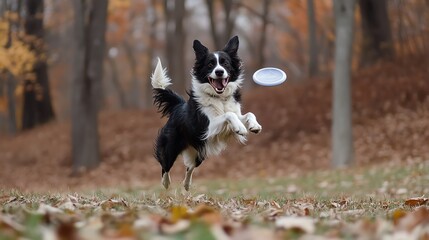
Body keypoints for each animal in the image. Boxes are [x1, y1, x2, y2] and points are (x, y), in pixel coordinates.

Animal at [150, 35, 260, 190]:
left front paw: (254, 126)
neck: (219, 98)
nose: (219, 72)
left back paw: (187, 184)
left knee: (190, 167)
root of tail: (178, 106)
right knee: (165, 166)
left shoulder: (233, 115)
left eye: (225, 63)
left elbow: (248, 114)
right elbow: (228, 115)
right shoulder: (207, 127)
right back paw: (166, 183)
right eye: (210, 65)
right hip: (171, 147)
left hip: (200, 151)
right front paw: (240, 128)